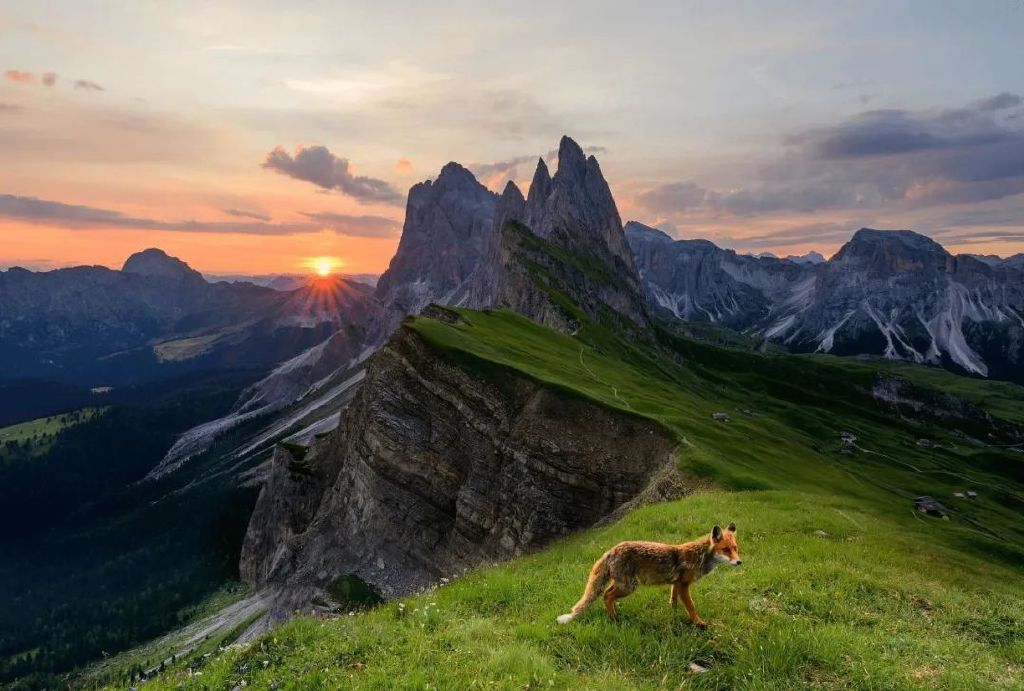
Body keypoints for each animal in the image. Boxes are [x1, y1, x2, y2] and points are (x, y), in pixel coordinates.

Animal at [557, 524, 741, 626]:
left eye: (735, 548)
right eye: (726, 550)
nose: (740, 562)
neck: (700, 556)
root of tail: (611, 550)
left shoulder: (676, 583)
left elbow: (673, 600)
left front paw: (673, 612)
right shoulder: (683, 585)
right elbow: (691, 606)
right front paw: (698, 623)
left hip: (622, 584)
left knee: (607, 594)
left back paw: (615, 613)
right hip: (629, 586)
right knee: (606, 596)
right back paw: (614, 619)